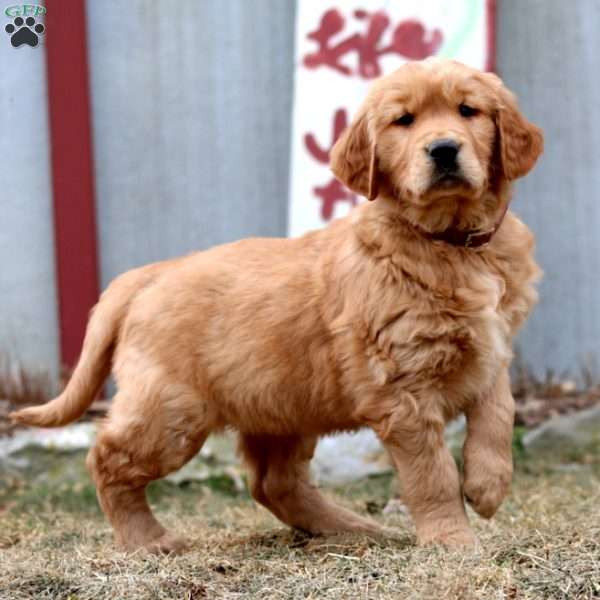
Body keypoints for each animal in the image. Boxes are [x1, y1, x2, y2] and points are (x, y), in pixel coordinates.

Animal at [11, 59, 544, 552]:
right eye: (404, 121)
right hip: (171, 411)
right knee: (108, 458)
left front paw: (488, 485)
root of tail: (149, 273)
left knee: (274, 483)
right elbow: (431, 475)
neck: (452, 244)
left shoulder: (492, 351)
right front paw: (452, 540)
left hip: (281, 403)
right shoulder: (403, 388)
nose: (444, 149)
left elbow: (499, 414)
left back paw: (354, 528)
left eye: (467, 111)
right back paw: (147, 539)